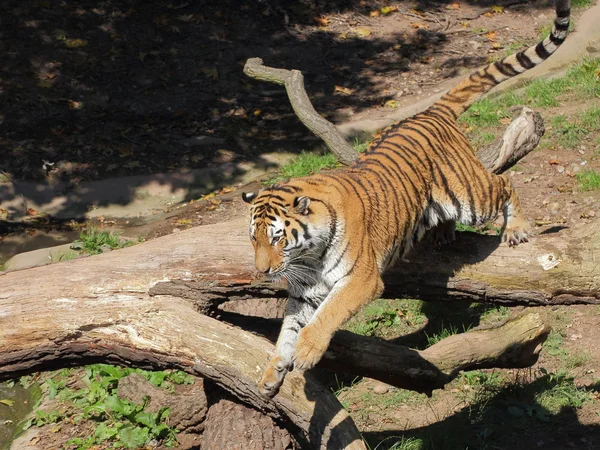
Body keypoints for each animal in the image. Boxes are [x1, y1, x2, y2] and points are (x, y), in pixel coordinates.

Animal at [243, 0, 572, 398]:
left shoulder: (361, 279)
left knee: (504, 181)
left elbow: (326, 316)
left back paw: (516, 229)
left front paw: (306, 351)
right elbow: (286, 332)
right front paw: (272, 373)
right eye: (254, 239)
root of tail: (429, 111)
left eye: (277, 238)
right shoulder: (304, 293)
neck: (307, 254)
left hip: (473, 197)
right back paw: (442, 232)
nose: (262, 271)